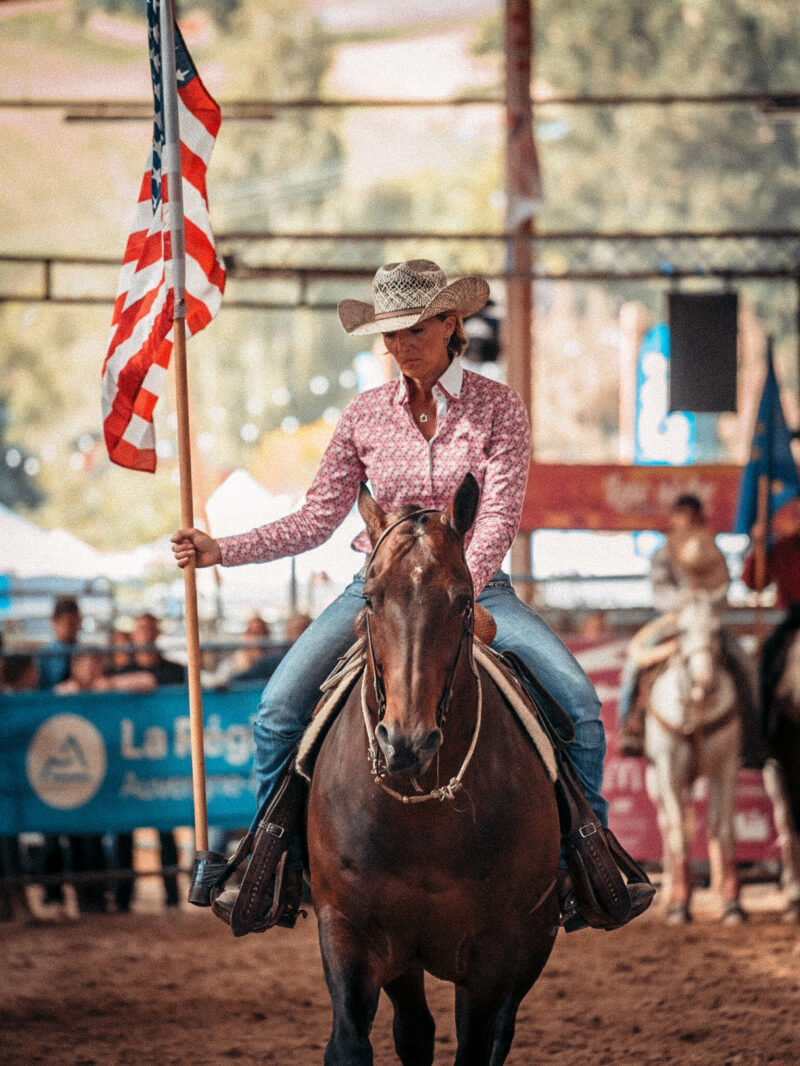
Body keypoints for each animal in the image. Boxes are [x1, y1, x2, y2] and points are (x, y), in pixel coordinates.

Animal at [307, 477, 563, 1066]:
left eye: (463, 600)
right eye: (370, 598)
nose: (406, 741)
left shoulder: (495, 952)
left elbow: (477, 1044)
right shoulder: (350, 930)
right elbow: (351, 1042)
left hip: (534, 942)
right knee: (415, 1029)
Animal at [644, 592, 750, 925]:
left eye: (717, 630)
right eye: (681, 631)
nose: (703, 680)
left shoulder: (726, 765)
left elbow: (723, 828)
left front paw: (732, 903)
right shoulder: (669, 769)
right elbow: (679, 832)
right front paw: (680, 905)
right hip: (656, 781)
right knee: (669, 827)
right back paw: (669, 896)